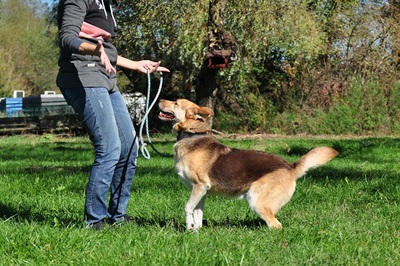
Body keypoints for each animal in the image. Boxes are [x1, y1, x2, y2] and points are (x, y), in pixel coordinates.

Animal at [158, 98, 340, 231]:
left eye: (176, 103)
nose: (159, 99)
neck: (191, 135)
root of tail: (290, 167)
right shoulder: (202, 192)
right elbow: (198, 214)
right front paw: (194, 230)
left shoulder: (200, 186)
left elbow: (188, 208)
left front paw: (189, 227)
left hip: (257, 200)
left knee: (276, 226)